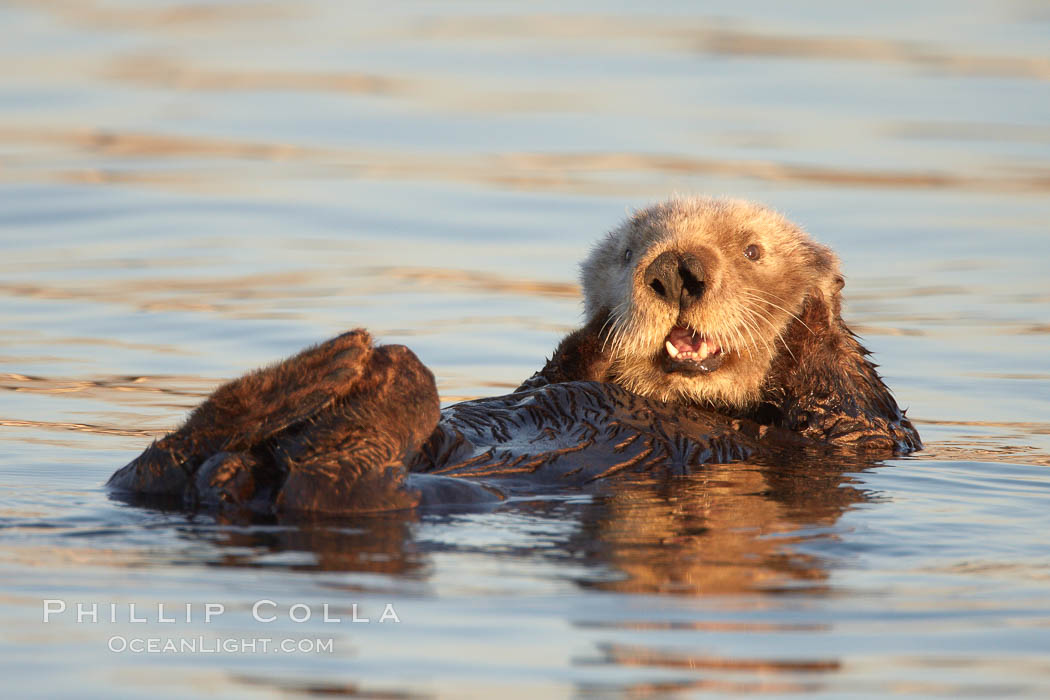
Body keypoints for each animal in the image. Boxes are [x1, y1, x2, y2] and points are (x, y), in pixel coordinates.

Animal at [106, 197, 919, 514]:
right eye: (631, 252)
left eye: (752, 251)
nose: (676, 270)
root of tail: (233, 481)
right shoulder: (554, 371)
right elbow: (557, 370)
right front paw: (598, 330)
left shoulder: (861, 434)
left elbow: (848, 406)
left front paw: (813, 306)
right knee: (162, 467)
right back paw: (345, 365)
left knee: (328, 486)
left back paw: (375, 372)